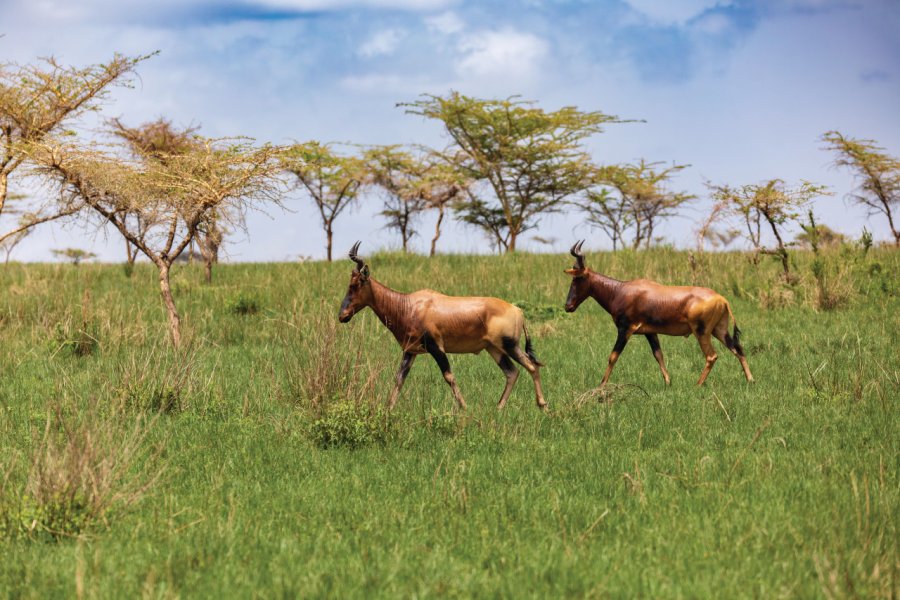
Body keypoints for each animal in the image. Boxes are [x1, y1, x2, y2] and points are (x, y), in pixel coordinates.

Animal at [338, 241, 548, 410]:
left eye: (356, 284)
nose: (342, 316)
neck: (409, 305)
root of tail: (517, 310)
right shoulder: (410, 351)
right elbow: (399, 379)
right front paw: (388, 408)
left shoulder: (436, 347)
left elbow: (448, 376)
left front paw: (464, 407)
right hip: (494, 348)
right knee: (512, 372)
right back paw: (498, 408)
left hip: (509, 345)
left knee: (531, 367)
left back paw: (543, 406)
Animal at [564, 240, 752, 386]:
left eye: (577, 278)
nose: (568, 306)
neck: (621, 290)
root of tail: (722, 299)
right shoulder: (650, 332)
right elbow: (659, 355)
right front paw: (668, 383)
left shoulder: (625, 330)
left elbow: (613, 356)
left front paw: (601, 386)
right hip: (719, 330)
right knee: (738, 349)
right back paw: (751, 380)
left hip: (702, 332)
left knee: (712, 356)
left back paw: (697, 384)